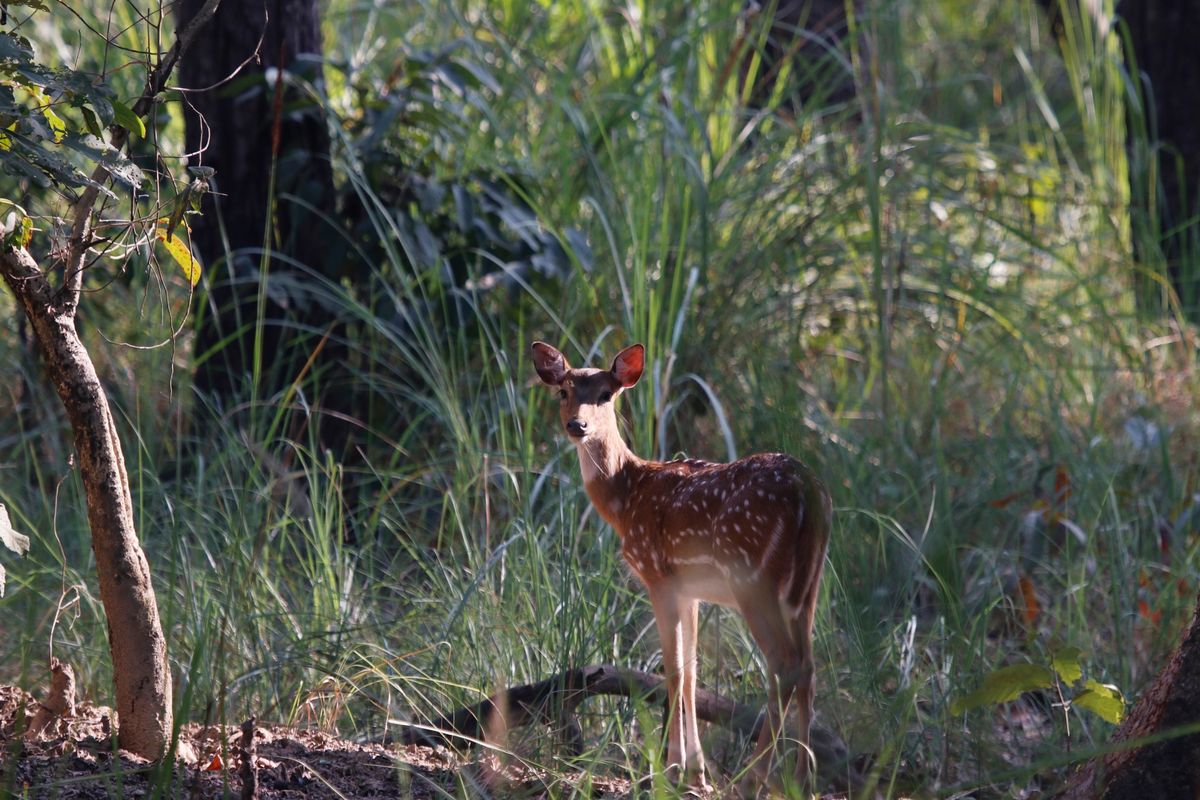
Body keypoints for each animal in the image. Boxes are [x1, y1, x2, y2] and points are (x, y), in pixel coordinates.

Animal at [535, 340, 835, 791]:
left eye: (606, 394)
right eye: (563, 392)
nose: (577, 425)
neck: (625, 497)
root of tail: (807, 495)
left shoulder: (658, 575)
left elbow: (673, 670)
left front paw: (674, 770)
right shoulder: (691, 589)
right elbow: (692, 672)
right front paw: (695, 771)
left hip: (752, 576)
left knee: (784, 664)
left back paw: (754, 778)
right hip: (807, 584)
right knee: (810, 667)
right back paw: (801, 779)